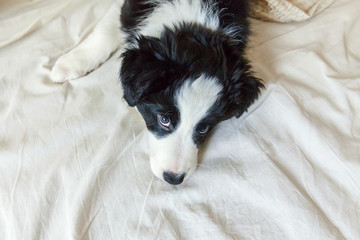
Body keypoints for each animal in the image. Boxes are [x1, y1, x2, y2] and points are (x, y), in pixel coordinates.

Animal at [50, 0, 262, 186]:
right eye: (164, 119)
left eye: (203, 128)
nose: (174, 178)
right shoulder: (129, 9)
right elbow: (106, 30)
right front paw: (70, 63)